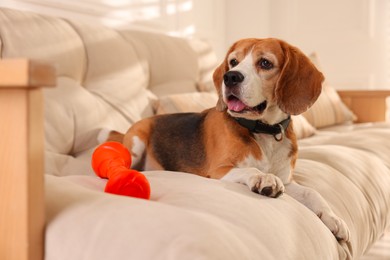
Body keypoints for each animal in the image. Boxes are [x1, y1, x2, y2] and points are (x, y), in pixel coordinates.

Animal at [109, 37, 350, 241]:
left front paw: (333, 218)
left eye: (265, 63)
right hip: (137, 143)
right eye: (233, 62)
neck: (264, 131)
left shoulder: (288, 181)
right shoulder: (218, 170)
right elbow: (251, 169)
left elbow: (312, 192)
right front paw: (264, 178)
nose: (231, 76)